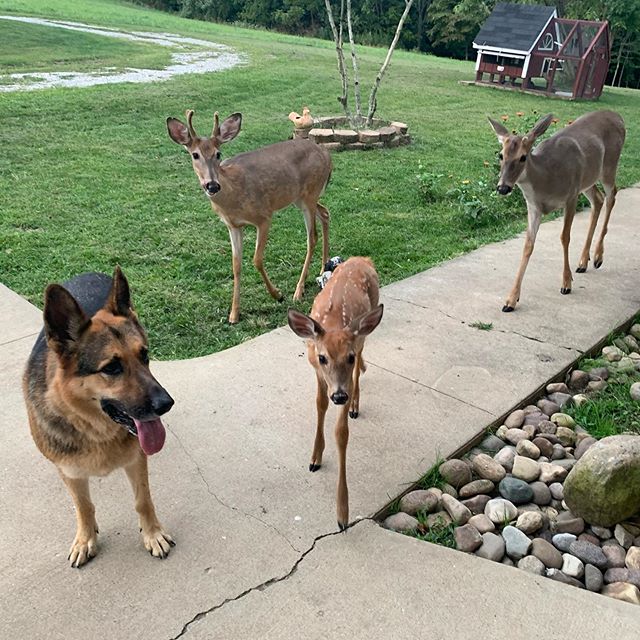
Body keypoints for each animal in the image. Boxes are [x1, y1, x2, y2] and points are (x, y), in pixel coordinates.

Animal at [22, 268, 175, 568]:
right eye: (112, 368)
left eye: (144, 355)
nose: (167, 404)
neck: (96, 429)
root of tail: (87, 272)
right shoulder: (69, 471)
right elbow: (84, 506)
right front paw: (85, 539)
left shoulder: (137, 459)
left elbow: (143, 500)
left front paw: (152, 534)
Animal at [165, 108, 332, 324]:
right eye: (195, 155)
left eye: (218, 153)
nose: (212, 185)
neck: (233, 196)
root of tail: (327, 155)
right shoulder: (233, 226)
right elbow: (236, 265)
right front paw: (233, 314)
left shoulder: (264, 216)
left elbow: (256, 259)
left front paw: (277, 294)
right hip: (300, 197)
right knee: (325, 213)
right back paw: (323, 268)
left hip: (309, 194)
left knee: (312, 237)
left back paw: (298, 290)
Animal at [288, 255, 382, 528]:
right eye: (322, 357)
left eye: (347, 357)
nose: (340, 396)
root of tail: (362, 259)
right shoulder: (316, 371)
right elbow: (320, 404)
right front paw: (315, 458)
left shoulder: (348, 368)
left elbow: (341, 433)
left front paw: (342, 513)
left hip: (364, 331)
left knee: (360, 365)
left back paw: (356, 404)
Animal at [490, 111, 624, 314]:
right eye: (500, 155)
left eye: (523, 157)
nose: (503, 188)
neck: (546, 179)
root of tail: (618, 116)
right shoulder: (534, 207)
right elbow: (528, 245)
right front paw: (511, 300)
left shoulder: (570, 196)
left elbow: (564, 237)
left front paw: (566, 283)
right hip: (587, 179)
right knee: (598, 199)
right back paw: (583, 262)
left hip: (609, 165)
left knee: (611, 196)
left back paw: (598, 257)